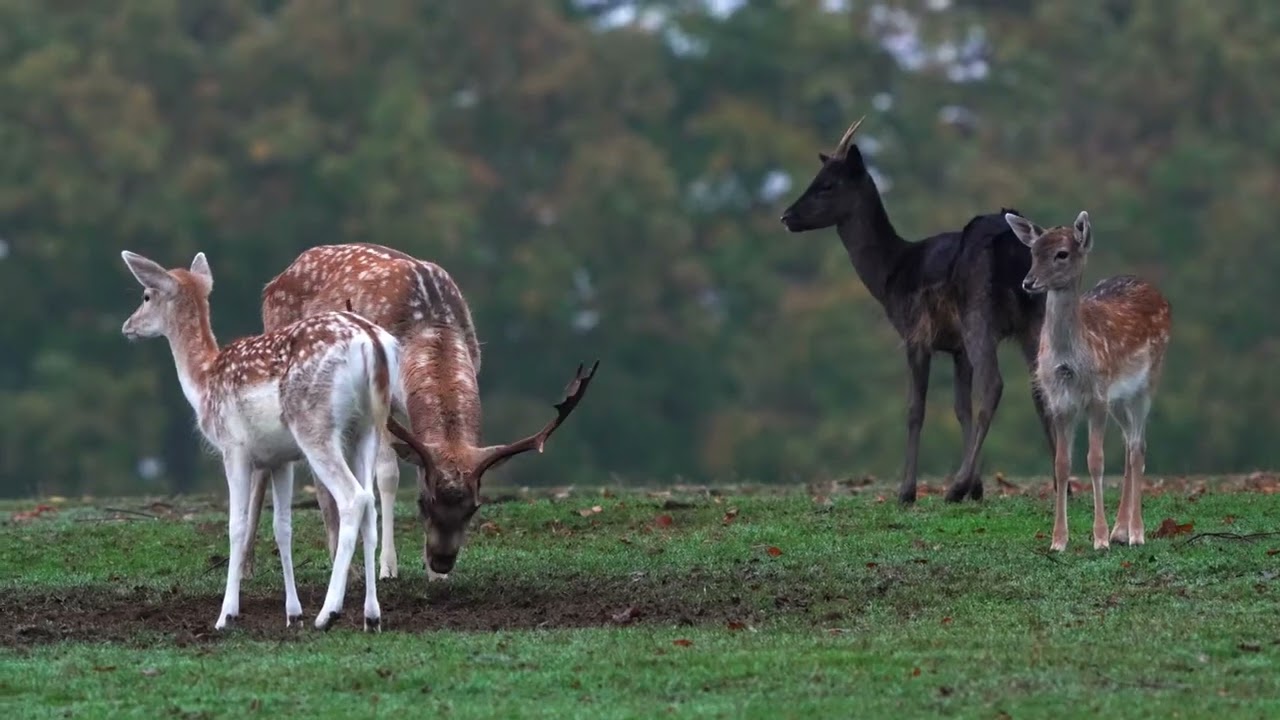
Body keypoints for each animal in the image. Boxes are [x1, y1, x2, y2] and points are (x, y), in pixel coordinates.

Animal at [118, 249, 429, 631]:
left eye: (146, 295)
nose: (128, 325)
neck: (203, 382)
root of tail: (371, 342)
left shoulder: (233, 447)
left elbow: (236, 526)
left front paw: (226, 614)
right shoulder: (281, 459)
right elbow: (283, 528)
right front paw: (292, 613)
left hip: (314, 425)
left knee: (353, 498)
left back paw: (328, 612)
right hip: (368, 426)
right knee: (370, 503)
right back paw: (371, 615)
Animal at [237, 243, 598, 583]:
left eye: (474, 508)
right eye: (424, 503)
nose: (442, 561)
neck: (429, 325)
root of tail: (276, 280)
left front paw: (433, 576)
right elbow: (387, 475)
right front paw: (387, 567)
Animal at [780, 116, 1054, 505]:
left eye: (827, 184)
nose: (786, 216)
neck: (890, 274)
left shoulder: (915, 333)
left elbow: (915, 409)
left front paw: (908, 492)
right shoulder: (956, 348)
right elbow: (960, 408)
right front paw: (977, 487)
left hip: (979, 314)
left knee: (994, 385)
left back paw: (954, 488)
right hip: (1036, 315)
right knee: (1041, 386)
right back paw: (1063, 484)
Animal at [1004, 211, 1172, 552]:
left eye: (1062, 254)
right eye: (1033, 251)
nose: (1028, 282)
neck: (1070, 362)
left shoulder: (1096, 396)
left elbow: (1095, 460)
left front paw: (1099, 539)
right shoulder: (1058, 401)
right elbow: (1061, 464)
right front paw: (1058, 541)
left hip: (1147, 382)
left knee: (1138, 447)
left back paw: (1135, 533)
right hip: (1118, 398)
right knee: (1129, 445)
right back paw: (1121, 530)